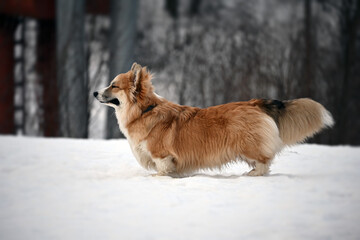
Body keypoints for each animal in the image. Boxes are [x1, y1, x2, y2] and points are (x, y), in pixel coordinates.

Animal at [93, 63, 334, 176]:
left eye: (113, 85)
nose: (94, 93)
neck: (145, 111)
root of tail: (255, 103)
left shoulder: (163, 157)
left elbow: (160, 173)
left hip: (248, 147)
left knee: (264, 164)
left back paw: (249, 175)